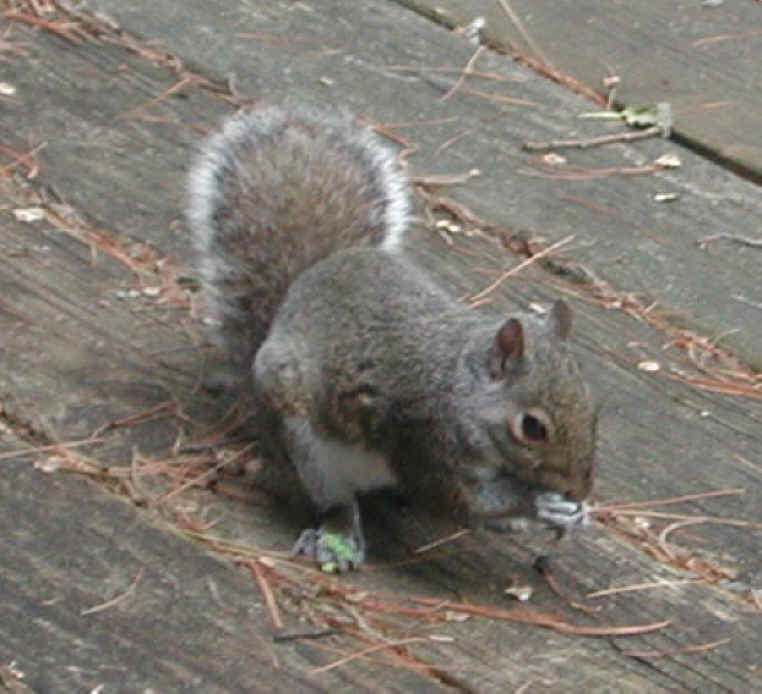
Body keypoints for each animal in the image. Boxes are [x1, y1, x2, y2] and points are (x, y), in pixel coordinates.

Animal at [187, 104, 597, 572]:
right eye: (532, 427)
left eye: (593, 410)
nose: (580, 490)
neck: (463, 389)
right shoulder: (428, 440)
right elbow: (462, 500)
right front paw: (539, 503)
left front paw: (575, 514)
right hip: (305, 445)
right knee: (334, 498)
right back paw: (339, 534)